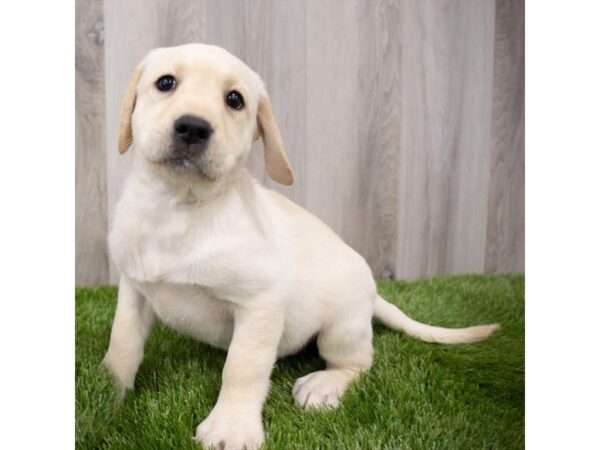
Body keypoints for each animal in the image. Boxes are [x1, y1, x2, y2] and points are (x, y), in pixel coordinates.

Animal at [103, 43, 496, 450]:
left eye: (235, 100)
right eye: (165, 82)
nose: (193, 127)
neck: (177, 207)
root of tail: (372, 295)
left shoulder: (259, 304)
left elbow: (242, 367)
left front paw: (231, 427)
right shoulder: (133, 291)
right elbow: (122, 345)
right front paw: (105, 397)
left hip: (341, 327)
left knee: (359, 362)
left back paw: (325, 384)